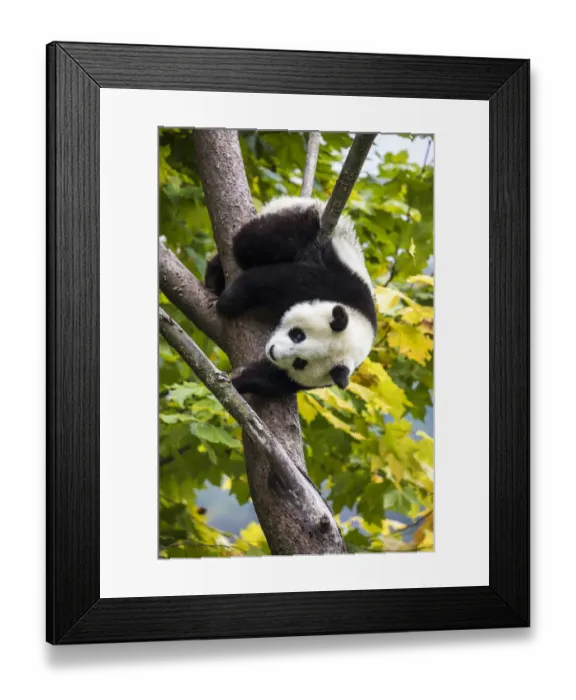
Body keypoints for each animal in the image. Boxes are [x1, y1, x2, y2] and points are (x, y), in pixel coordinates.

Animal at [204, 196, 377, 397]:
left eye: (300, 363)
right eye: (298, 335)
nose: (273, 351)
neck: (359, 320)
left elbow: (277, 381)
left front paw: (240, 382)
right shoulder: (337, 286)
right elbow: (279, 280)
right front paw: (227, 303)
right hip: (304, 220)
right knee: (259, 242)